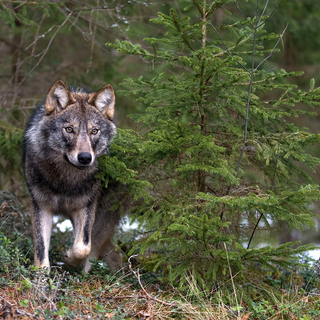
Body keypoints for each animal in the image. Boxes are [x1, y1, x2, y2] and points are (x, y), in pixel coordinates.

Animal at [23, 80, 122, 272]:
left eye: (94, 131)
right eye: (69, 129)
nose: (85, 158)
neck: (66, 180)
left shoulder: (86, 206)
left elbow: (83, 246)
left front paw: (68, 258)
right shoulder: (40, 206)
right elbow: (41, 249)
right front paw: (41, 277)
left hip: (100, 220)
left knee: (97, 251)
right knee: (114, 253)